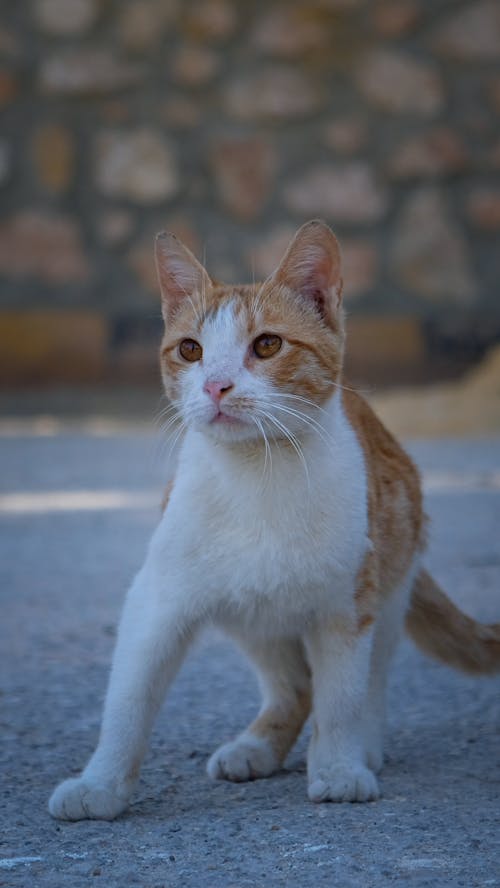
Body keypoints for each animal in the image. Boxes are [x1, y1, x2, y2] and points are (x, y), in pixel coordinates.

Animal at [48, 220, 500, 820]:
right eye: (190, 350)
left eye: (267, 345)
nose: (216, 385)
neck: (257, 476)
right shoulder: (158, 598)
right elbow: (128, 698)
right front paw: (100, 783)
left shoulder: (346, 605)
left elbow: (341, 696)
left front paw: (337, 767)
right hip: (250, 613)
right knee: (292, 684)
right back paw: (257, 746)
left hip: (390, 583)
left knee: (371, 675)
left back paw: (365, 744)